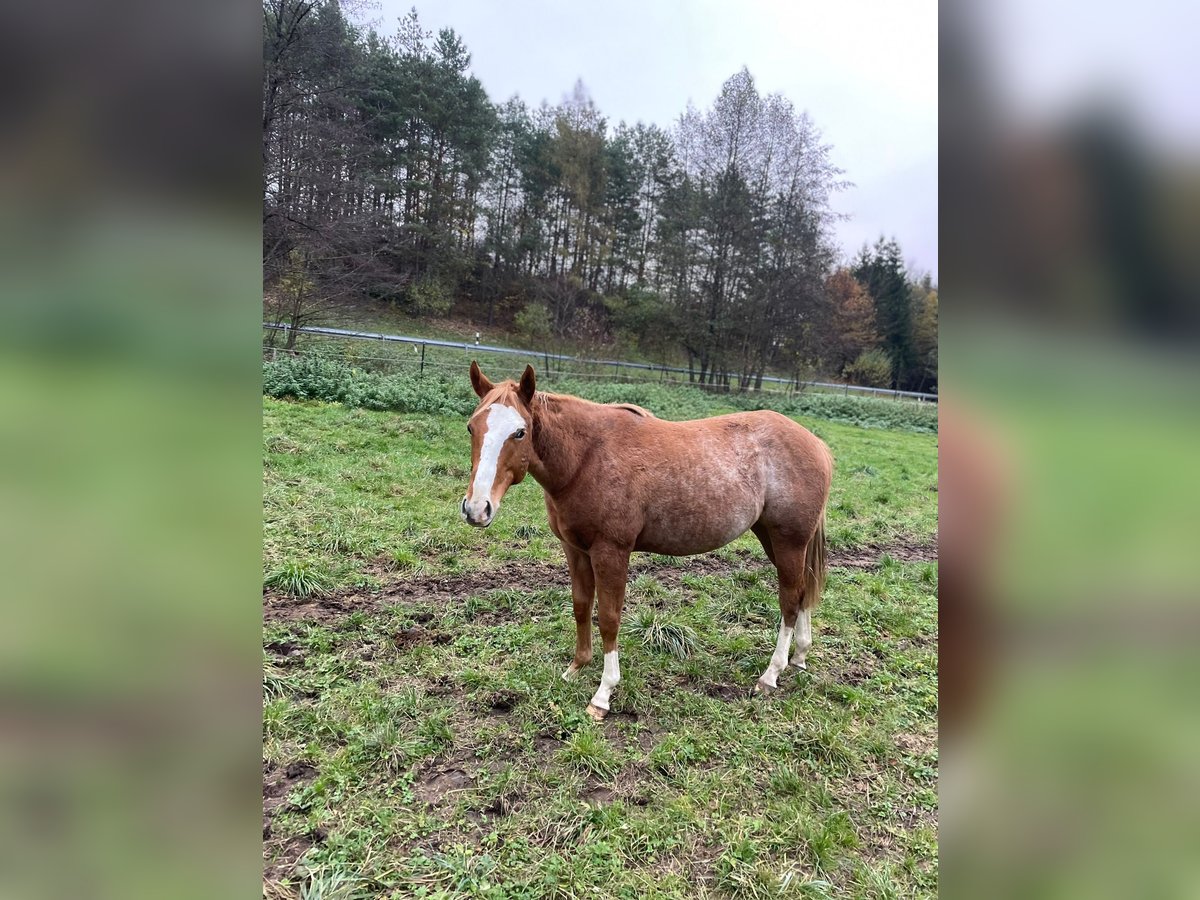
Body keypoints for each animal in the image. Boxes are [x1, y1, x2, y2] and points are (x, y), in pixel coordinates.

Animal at [458, 362, 835, 724]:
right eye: (472, 428)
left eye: (519, 432)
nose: (477, 508)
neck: (586, 458)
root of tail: (816, 444)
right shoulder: (575, 549)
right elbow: (581, 606)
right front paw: (576, 668)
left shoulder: (611, 552)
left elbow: (609, 617)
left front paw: (603, 694)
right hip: (774, 539)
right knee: (802, 593)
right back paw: (799, 657)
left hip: (789, 541)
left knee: (789, 601)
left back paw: (770, 675)